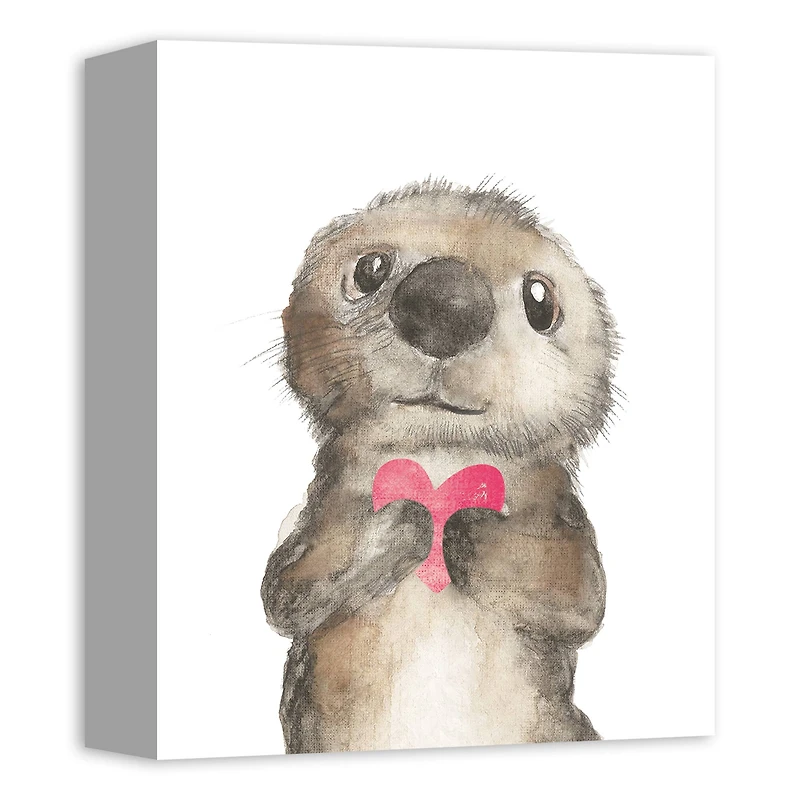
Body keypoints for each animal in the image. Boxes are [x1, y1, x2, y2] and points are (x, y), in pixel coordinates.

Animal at [261, 178, 619, 754]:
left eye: (541, 301)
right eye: (369, 270)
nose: (445, 302)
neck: (439, 460)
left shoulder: (563, 518)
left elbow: (580, 595)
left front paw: (464, 525)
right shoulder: (318, 517)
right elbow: (285, 589)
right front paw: (409, 519)